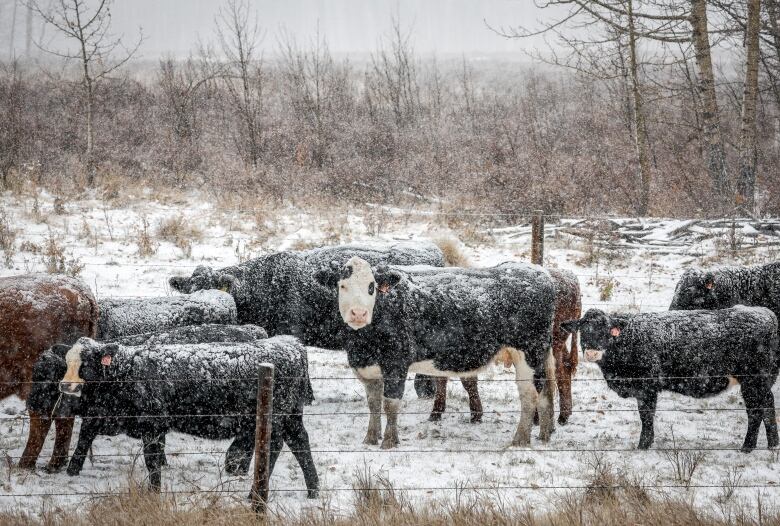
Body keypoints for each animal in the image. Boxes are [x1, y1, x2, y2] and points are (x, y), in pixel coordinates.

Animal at [54, 336, 318, 498]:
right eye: (66, 362)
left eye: (86, 363)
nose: (66, 385)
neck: (127, 371)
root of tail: (289, 343)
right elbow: (86, 436)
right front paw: (72, 471)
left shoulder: (150, 424)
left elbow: (151, 460)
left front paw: (153, 492)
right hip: (292, 415)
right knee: (300, 442)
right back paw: (313, 490)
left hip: (277, 416)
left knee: (274, 446)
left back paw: (255, 494)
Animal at [314, 258, 556, 452]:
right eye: (342, 286)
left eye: (371, 287)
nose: (358, 313)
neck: (362, 344)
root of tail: (538, 271)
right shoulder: (367, 367)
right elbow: (373, 403)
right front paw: (370, 439)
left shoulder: (396, 362)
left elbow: (390, 403)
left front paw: (390, 442)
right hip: (540, 354)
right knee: (546, 391)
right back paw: (544, 435)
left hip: (529, 352)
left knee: (529, 395)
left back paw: (520, 440)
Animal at [426, 270, 580, 426]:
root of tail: (568, 277)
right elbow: (443, 379)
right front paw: (438, 411)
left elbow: (466, 381)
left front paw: (474, 414)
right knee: (563, 369)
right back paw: (563, 415)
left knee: (555, 373)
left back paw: (545, 417)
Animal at [564, 310, 776, 454]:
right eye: (583, 330)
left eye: (606, 330)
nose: (592, 352)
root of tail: (764, 313)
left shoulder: (647, 387)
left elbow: (646, 416)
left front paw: (643, 445)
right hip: (761, 383)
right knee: (768, 405)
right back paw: (773, 444)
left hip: (753, 381)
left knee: (756, 411)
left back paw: (747, 447)